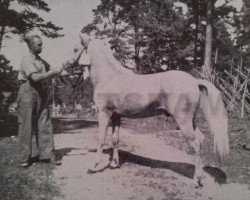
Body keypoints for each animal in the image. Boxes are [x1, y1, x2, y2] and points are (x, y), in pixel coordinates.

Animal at [71, 34, 229, 188]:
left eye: (75, 49)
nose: (68, 67)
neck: (109, 76)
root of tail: (195, 81)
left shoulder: (104, 114)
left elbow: (101, 139)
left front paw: (94, 166)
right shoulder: (116, 115)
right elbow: (115, 139)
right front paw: (114, 164)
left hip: (183, 121)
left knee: (195, 143)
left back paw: (196, 181)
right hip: (191, 120)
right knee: (201, 139)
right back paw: (200, 178)